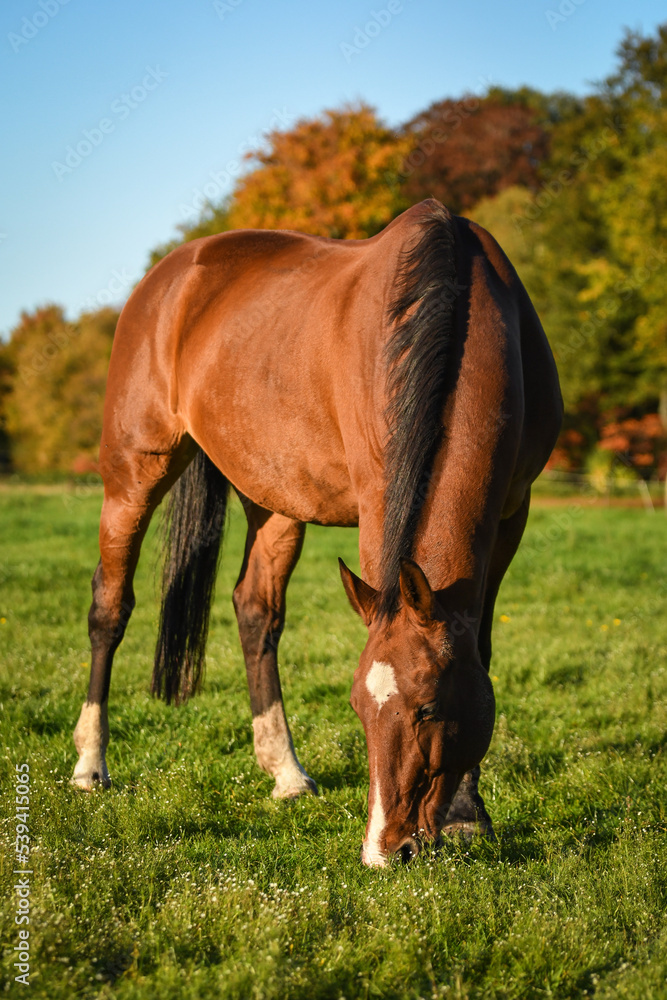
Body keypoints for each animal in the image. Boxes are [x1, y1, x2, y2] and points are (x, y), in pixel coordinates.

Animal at [72, 197, 564, 868]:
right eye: (356, 707)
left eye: (429, 707)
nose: (386, 850)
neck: (457, 299)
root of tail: (169, 275)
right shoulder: (382, 500)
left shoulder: (513, 513)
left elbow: (480, 648)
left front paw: (469, 814)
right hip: (134, 472)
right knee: (110, 605)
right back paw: (90, 764)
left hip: (273, 499)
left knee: (256, 610)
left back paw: (285, 771)